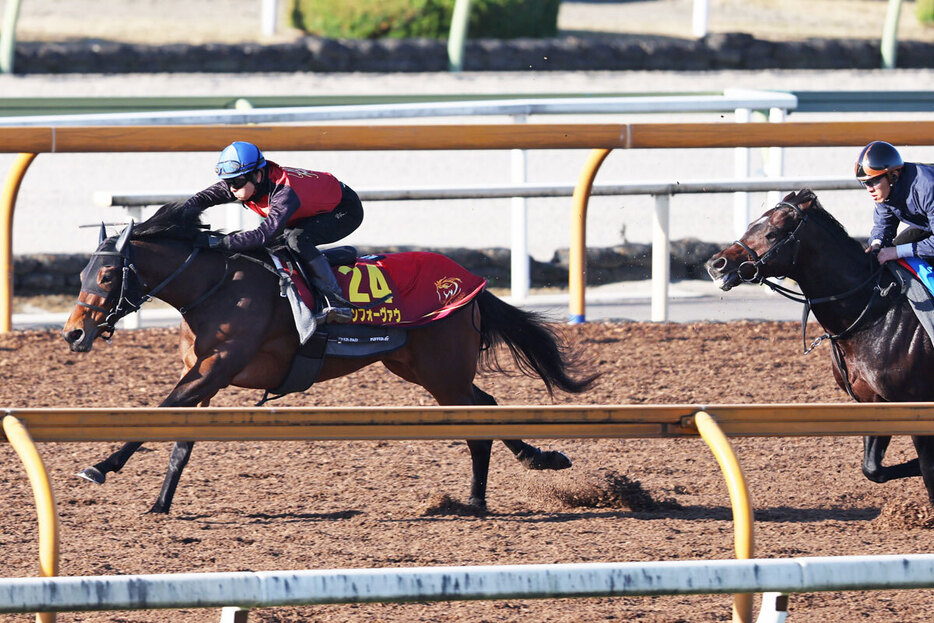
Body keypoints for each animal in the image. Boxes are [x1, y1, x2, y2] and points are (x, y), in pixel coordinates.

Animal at [60, 202, 600, 516]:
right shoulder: (204, 374)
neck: (215, 286)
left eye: (106, 277)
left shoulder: (216, 368)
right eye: (82, 274)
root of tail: (468, 282)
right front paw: (160, 502)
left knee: (481, 417)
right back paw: (508, 478)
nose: (73, 333)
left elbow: (159, 413)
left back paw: (502, 483)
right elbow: (181, 440)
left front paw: (101, 466)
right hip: (419, 368)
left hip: (441, 371)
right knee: (485, 407)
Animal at [704, 189, 934, 508]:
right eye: (752, 224)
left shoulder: (917, 406)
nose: (717, 264)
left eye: (772, 233)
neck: (875, 310)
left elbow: (928, 471)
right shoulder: (873, 402)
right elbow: (872, 468)